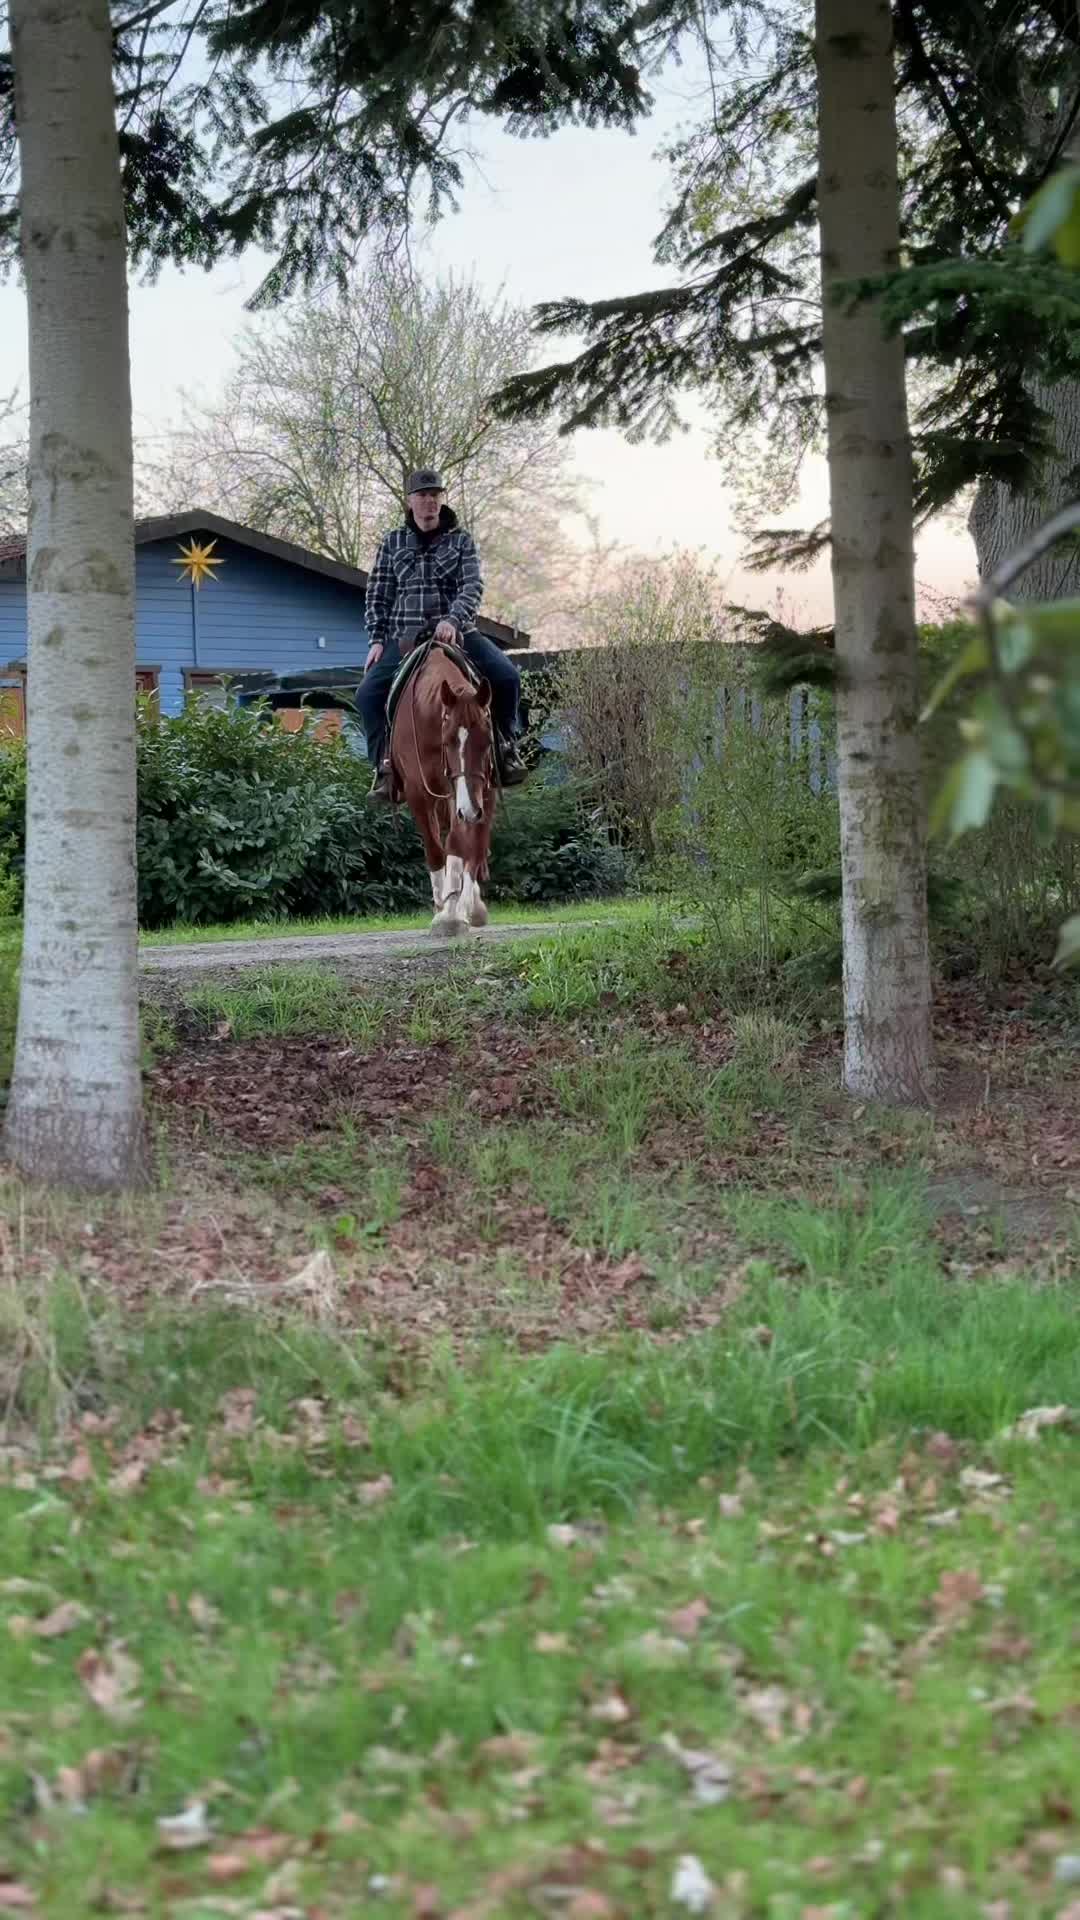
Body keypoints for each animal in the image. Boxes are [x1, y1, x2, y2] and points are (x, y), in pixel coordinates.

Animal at [389, 641, 497, 937]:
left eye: (487, 740)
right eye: (448, 741)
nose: (471, 810)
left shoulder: (474, 793)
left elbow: (461, 843)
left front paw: (454, 912)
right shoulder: (419, 793)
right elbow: (435, 849)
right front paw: (442, 906)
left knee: (476, 842)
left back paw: (471, 904)